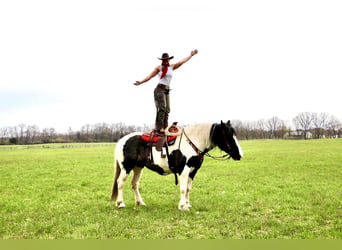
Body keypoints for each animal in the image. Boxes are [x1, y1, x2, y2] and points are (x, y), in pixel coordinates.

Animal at [111, 120, 242, 210]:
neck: (191, 143)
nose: (240, 154)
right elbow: (183, 188)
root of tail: (122, 140)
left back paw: (140, 202)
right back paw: (120, 203)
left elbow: (188, 188)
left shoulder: (193, 171)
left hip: (138, 167)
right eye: (228, 135)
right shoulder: (184, 170)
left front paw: (188, 204)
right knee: (120, 183)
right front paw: (183, 206)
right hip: (126, 167)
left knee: (134, 184)